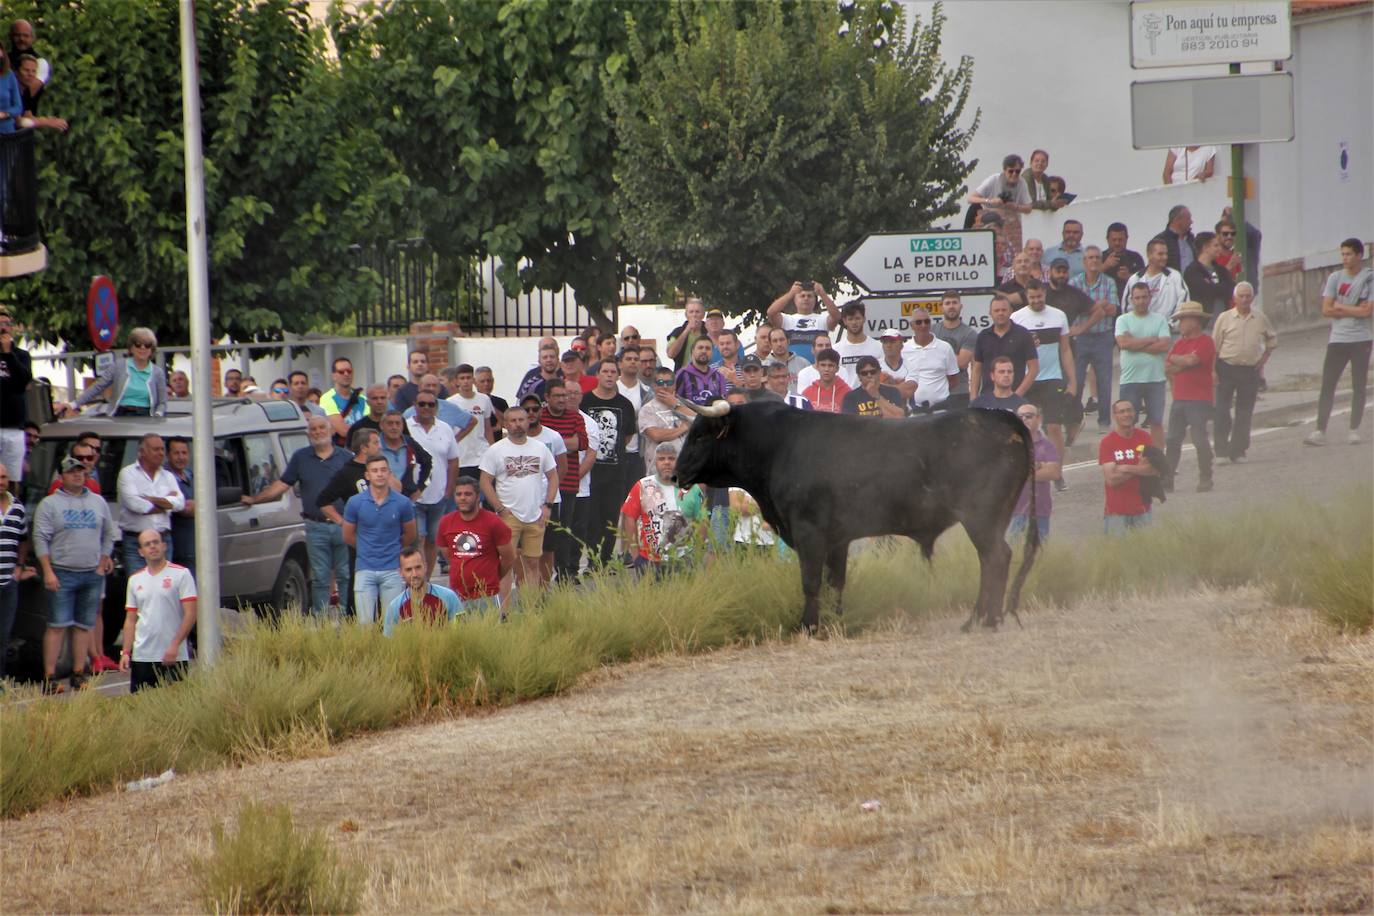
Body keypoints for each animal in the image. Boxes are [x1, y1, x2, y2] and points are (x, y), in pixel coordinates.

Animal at [670, 403, 1033, 634]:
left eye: (700, 435)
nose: (674, 475)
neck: (779, 445)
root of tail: (1000, 417)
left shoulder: (809, 532)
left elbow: (811, 581)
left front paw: (807, 626)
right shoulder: (837, 538)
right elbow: (836, 582)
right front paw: (835, 622)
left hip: (980, 516)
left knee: (994, 558)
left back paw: (979, 620)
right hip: (995, 517)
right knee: (996, 558)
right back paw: (988, 618)